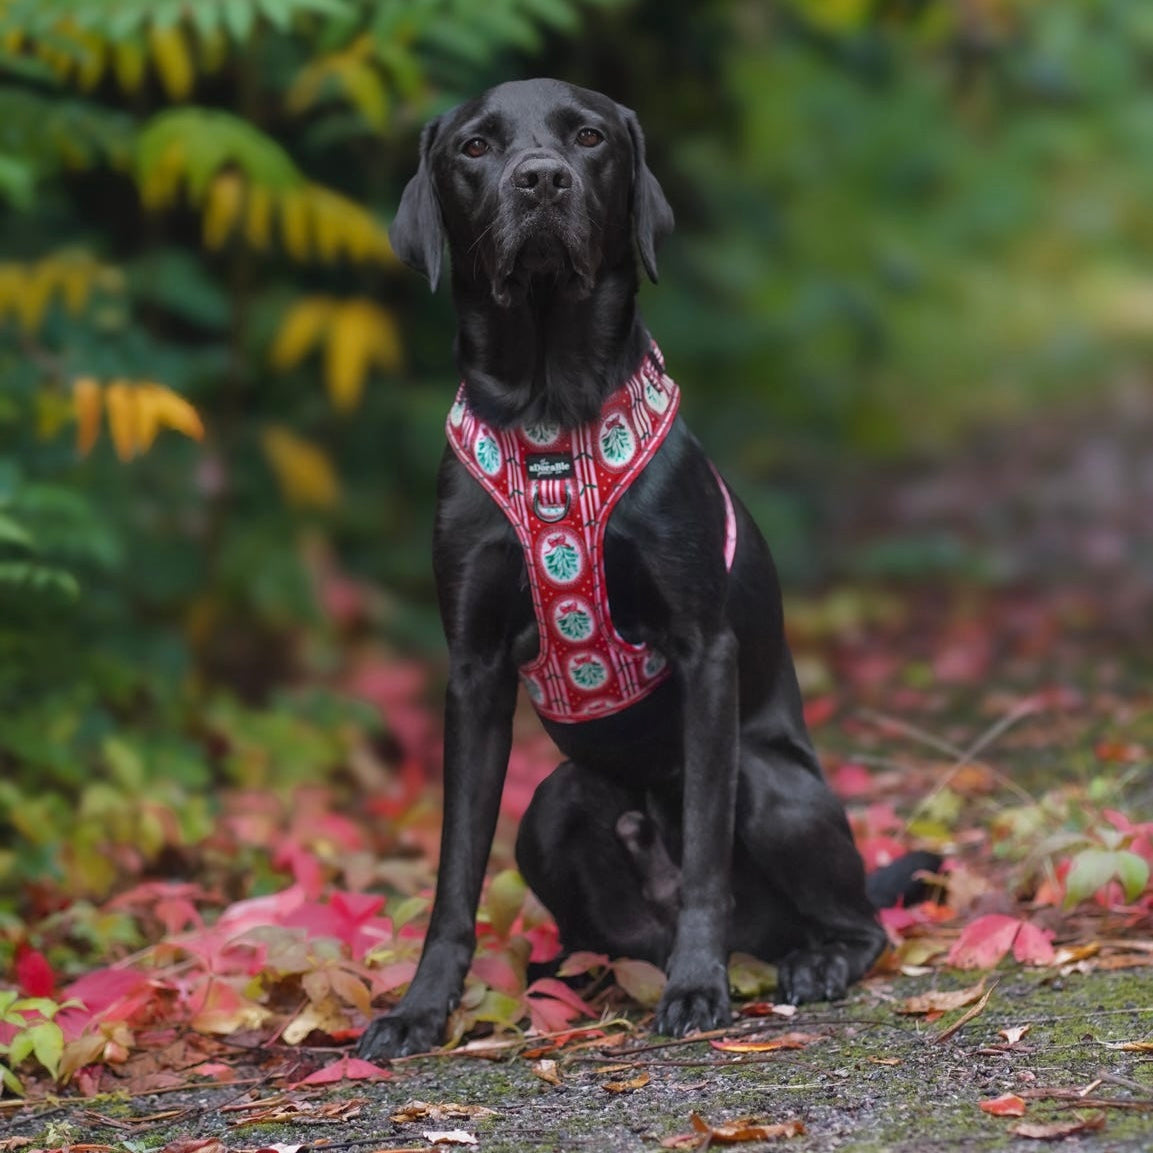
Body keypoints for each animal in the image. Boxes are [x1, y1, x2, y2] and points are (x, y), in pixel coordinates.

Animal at [357, 76, 927, 1056]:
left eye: (588, 138)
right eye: (474, 146)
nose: (541, 180)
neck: (548, 412)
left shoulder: (704, 651)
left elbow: (701, 851)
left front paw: (698, 990)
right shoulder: (471, 667)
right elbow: (453, 871)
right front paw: (421, 1009)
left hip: (772, 787)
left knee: (857, 922)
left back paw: (799, 962)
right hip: (548, 810)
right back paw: (566, 972)